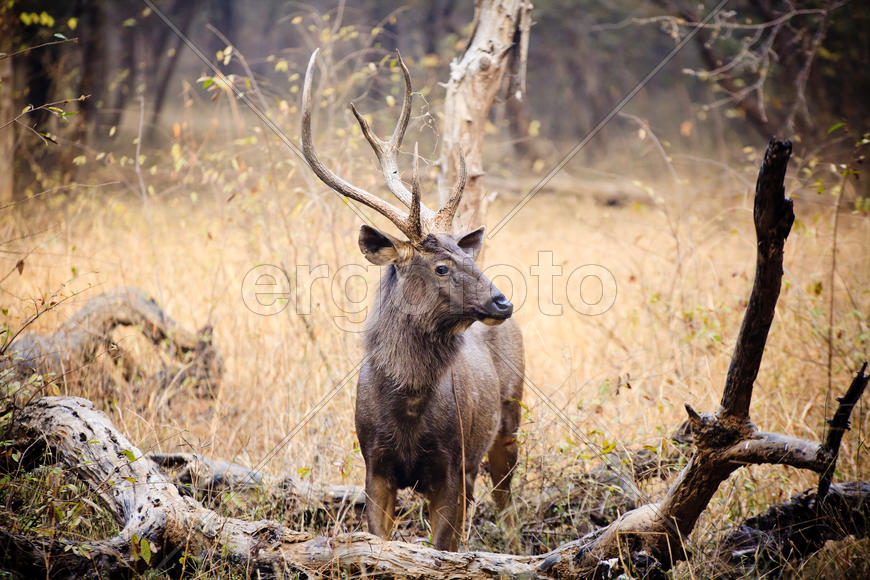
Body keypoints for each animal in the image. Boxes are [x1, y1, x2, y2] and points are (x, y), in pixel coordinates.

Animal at [304, 48, 524, 548]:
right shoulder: (374, 465)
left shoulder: (452, 467)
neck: (406, 411)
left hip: (509, 414)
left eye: (464, 252)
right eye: (440, 266)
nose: (502, 302)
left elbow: (443, 549)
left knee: (506, 492)